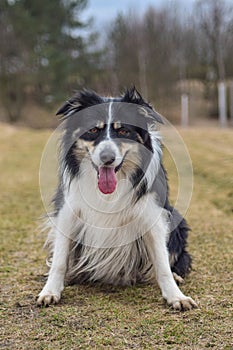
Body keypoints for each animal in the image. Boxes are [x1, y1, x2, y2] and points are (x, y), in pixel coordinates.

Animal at [37, 89, 197, 310]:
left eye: (123, 131)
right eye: (93, 130)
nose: (107, 158)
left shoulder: (152, 214)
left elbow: (162, 262)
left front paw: (176, 296)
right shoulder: (68, 212)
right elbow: (60, 259)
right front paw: (50, 291)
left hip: (177, 221)